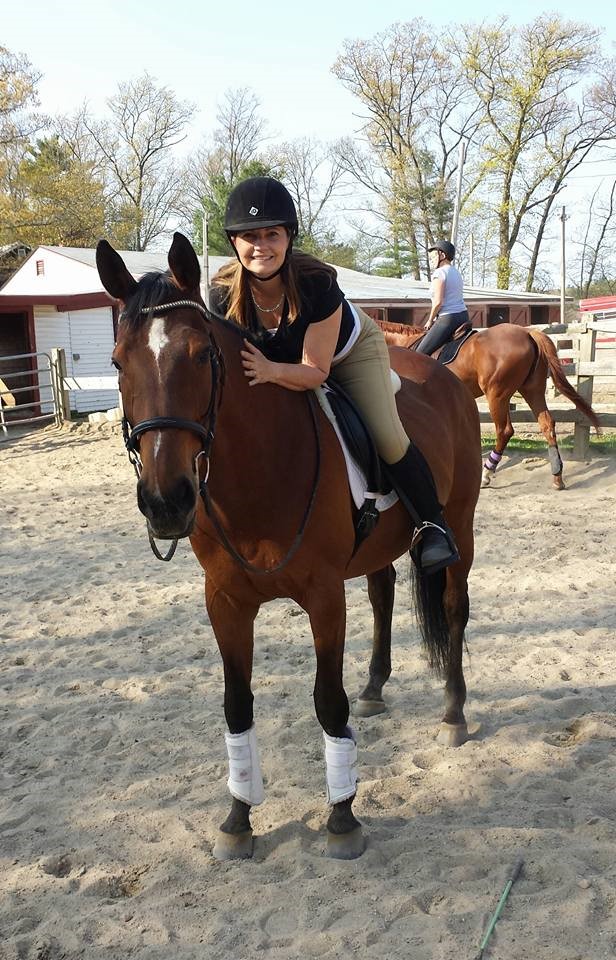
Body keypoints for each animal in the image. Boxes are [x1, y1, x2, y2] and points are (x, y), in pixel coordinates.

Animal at [96, 234, 484, 864]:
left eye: (201, 356)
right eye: (116, 362)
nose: (165, 501)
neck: (260, 470)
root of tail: (443, 374)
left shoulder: (324, 599)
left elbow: (328, 702)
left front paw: (342, 817)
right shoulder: (225, 603)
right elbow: (237, 705)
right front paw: (238, 818)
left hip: (461, 525)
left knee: (452, 608)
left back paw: (453, 712)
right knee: (382, 593)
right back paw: (375, 688)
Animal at [378, 318, 600, 492]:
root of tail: (527, 333)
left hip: (497, 394)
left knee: (505, 430)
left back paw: (486, 474)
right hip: (532, 390)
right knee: (547, 424)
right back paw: (557, 477)